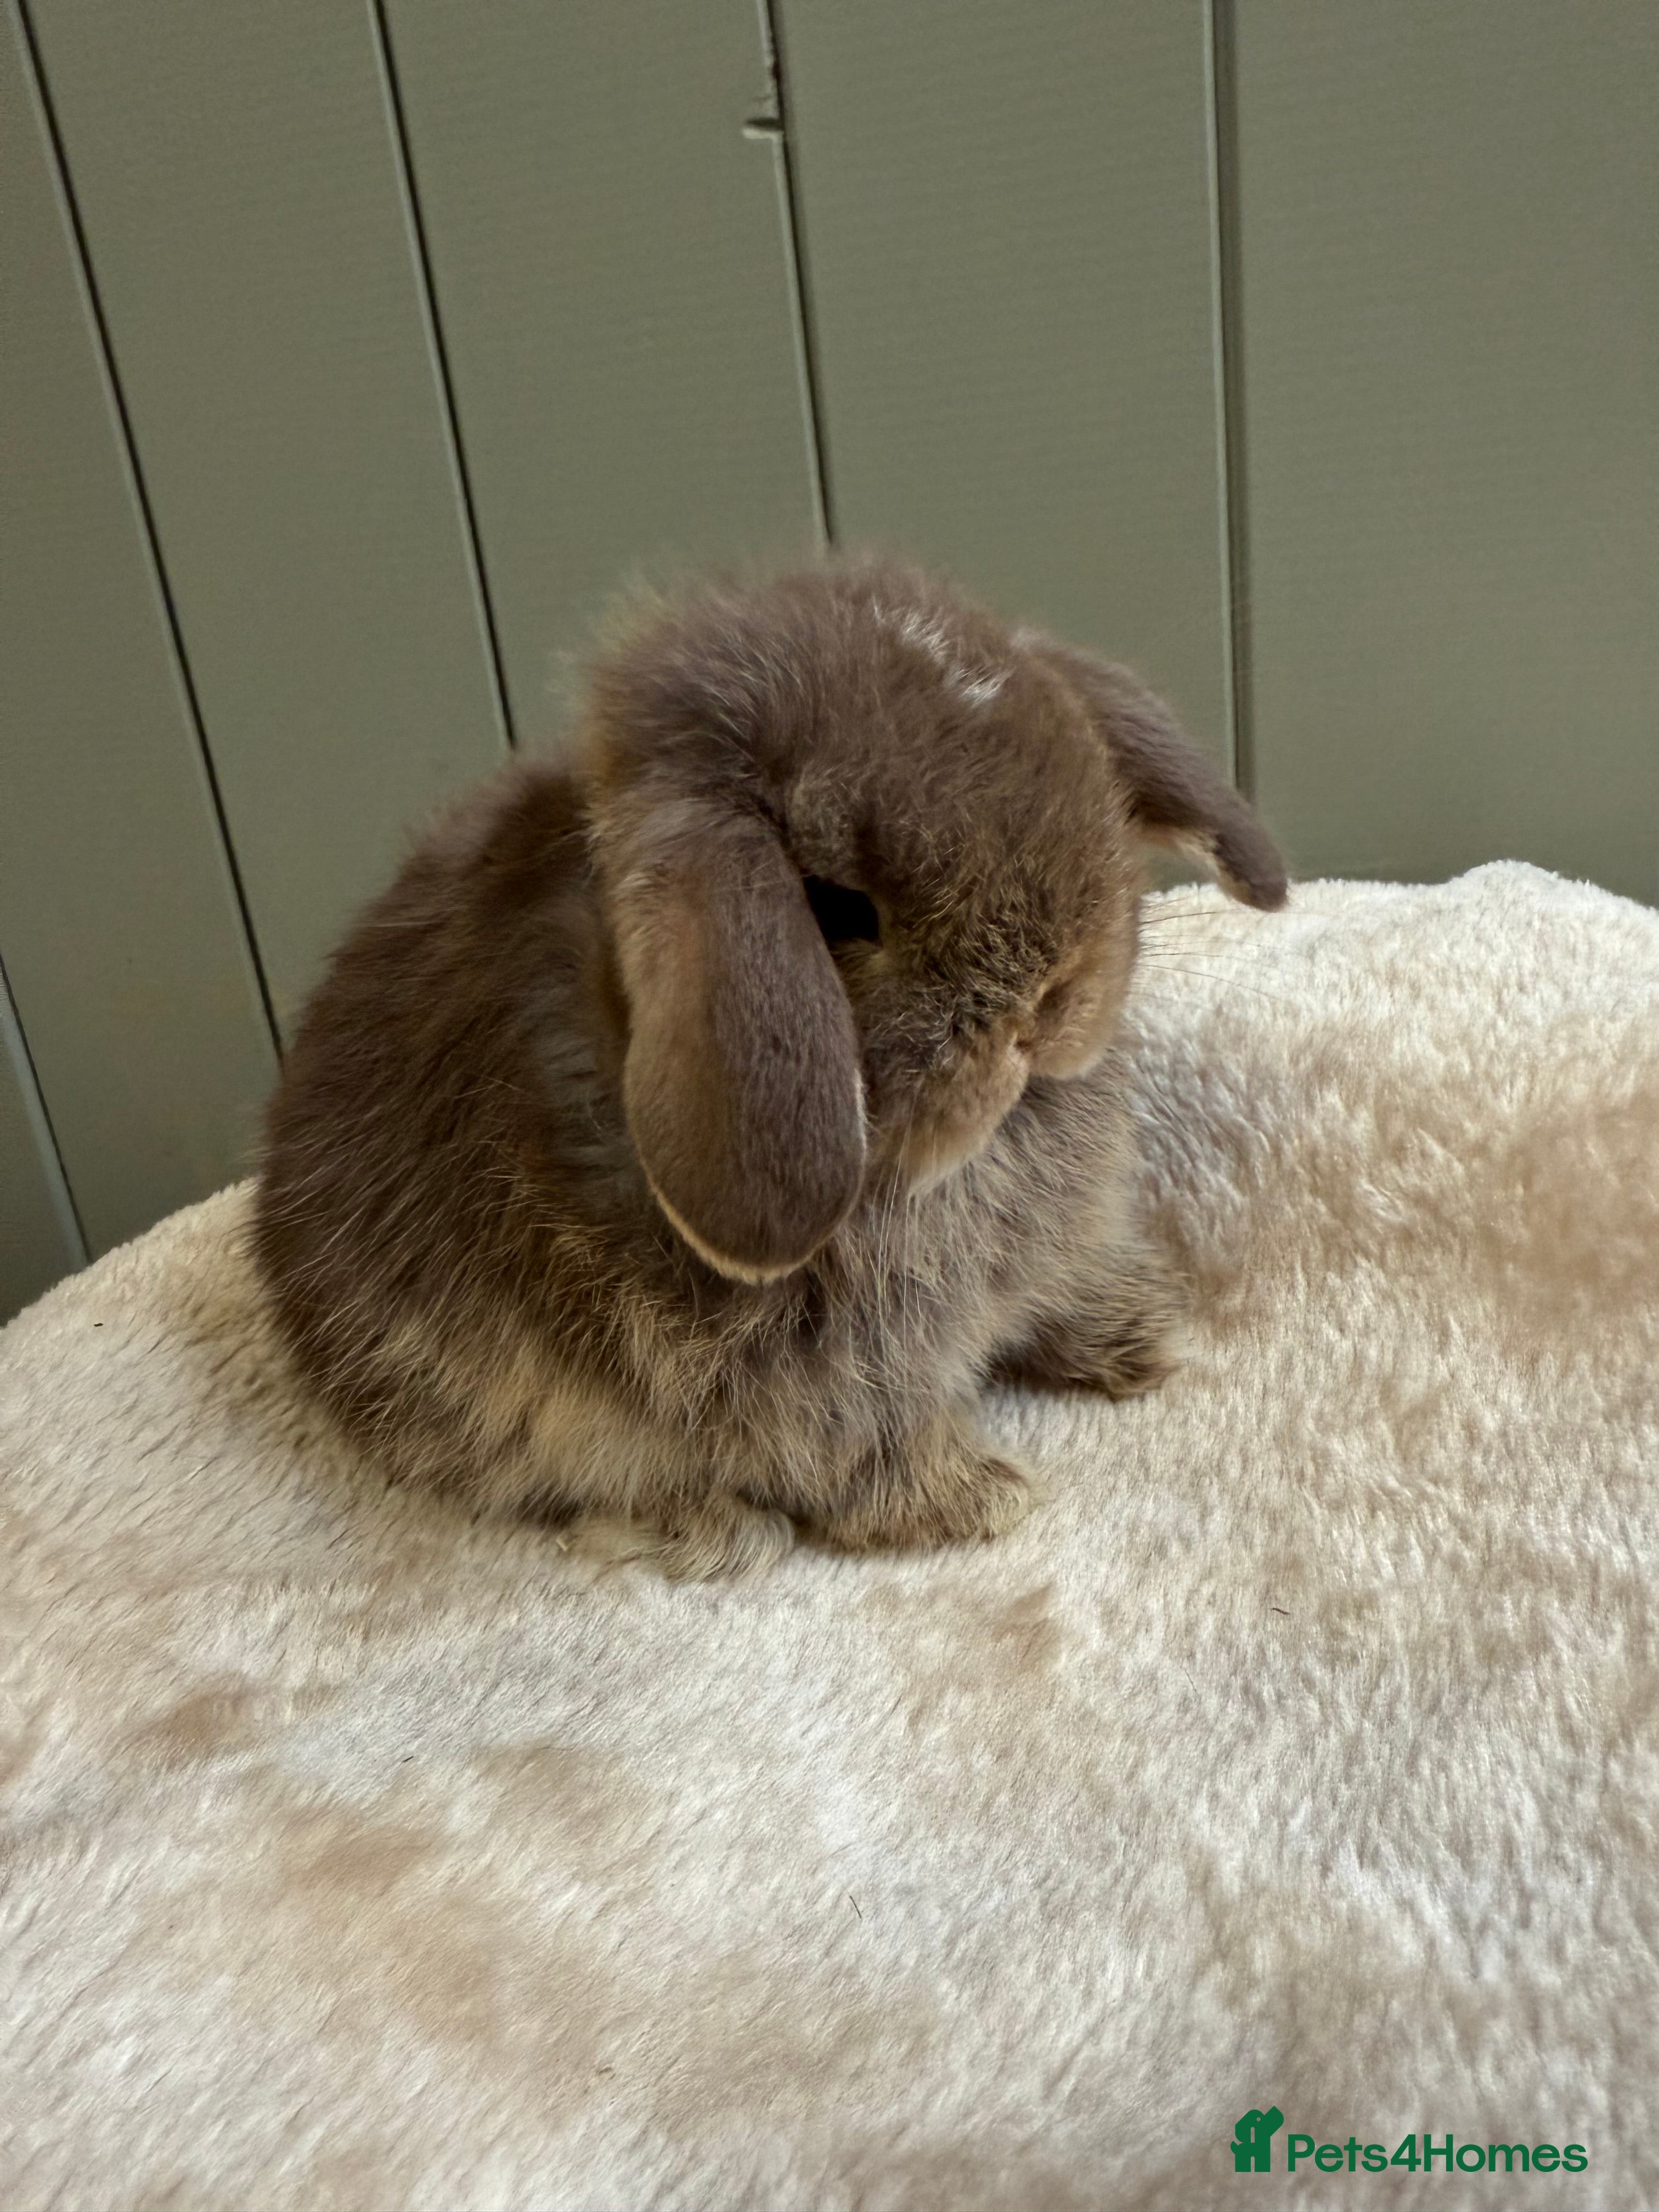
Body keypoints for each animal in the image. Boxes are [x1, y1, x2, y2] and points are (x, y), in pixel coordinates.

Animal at [252, 558, 1286, 1576]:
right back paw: (712, 1529)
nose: (1047, 1001)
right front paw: (974, 1502)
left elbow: (1070, 1294)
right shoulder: (826, 1373)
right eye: (835, 908)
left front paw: (1142, 1342)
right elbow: (865, 1447)